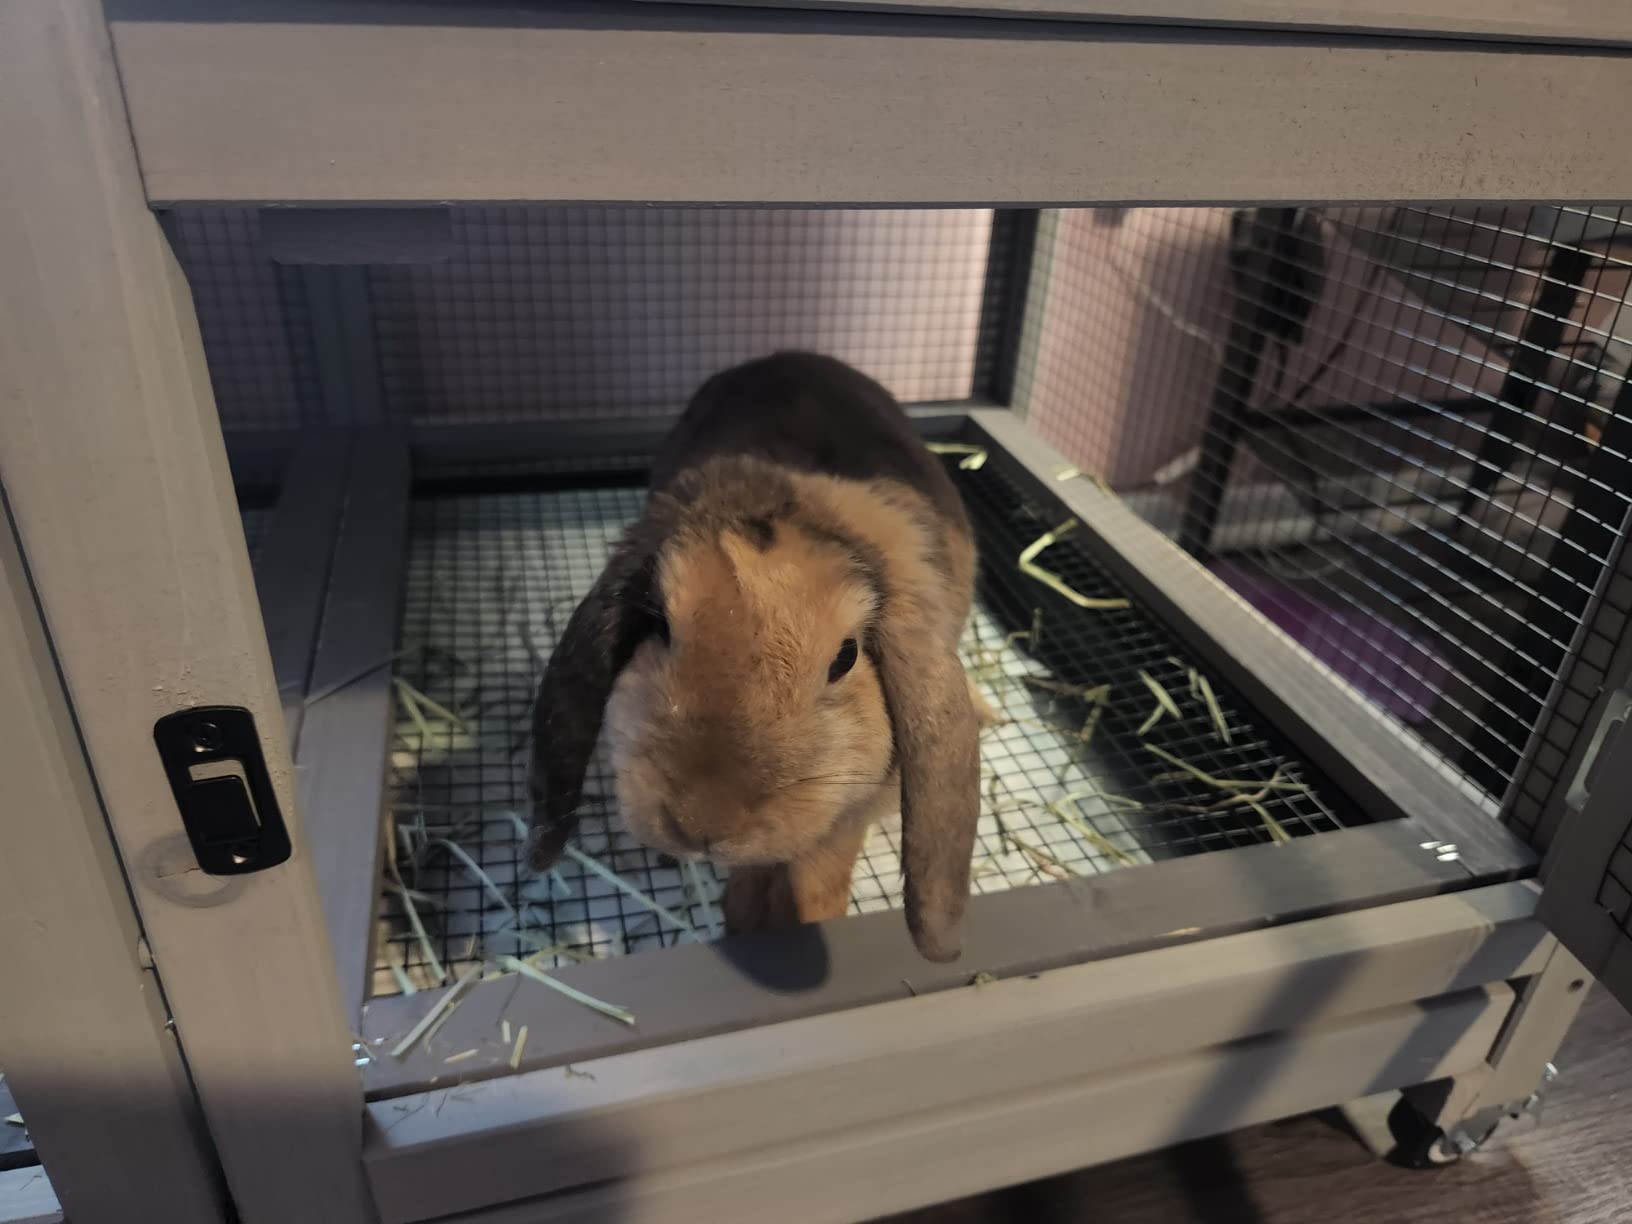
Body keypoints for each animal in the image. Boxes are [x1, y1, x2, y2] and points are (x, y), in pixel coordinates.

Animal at [527, 352, 984, 962]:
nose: (701, 822)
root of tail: (785, 356)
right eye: (658, 623)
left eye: (845, 657)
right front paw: (745, 923)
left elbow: (818, 874)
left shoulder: (847, 814)